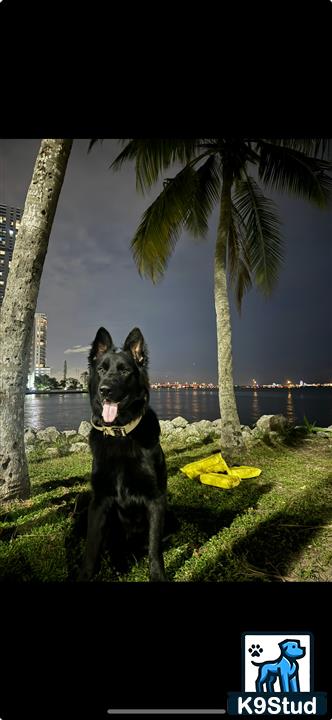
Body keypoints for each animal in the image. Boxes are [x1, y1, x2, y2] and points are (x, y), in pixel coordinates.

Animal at [79, 326, 167, 580]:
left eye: (125, 370)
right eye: (101, 369)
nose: (105, 390)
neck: (121, 433)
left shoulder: (156, 499)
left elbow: (155, 547)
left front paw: (157, 575)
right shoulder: (98, 502)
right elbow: (91, 548)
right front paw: (85, 575)